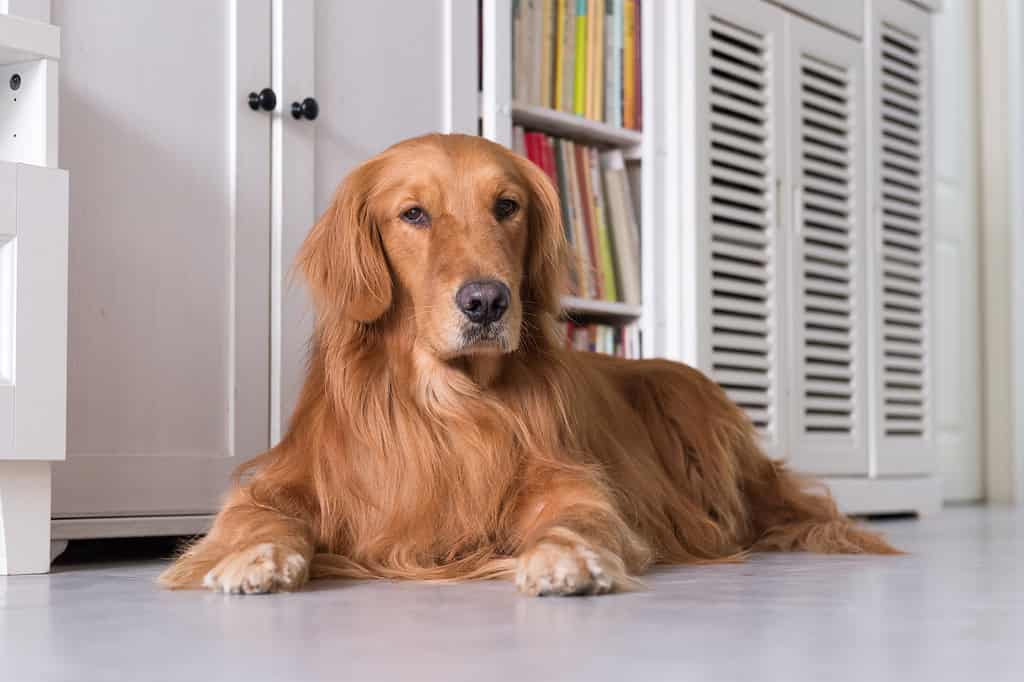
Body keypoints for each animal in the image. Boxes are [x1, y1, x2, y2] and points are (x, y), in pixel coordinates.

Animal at [159, 133, 897, 593]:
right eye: (413, 214)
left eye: (507, 206)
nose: (487, 301)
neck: (450, 403)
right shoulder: (285, 480)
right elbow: (261, 517)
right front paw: (252, 557)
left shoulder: (570, 480)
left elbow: (575, 516)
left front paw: (566, 557)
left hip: (693, 406)